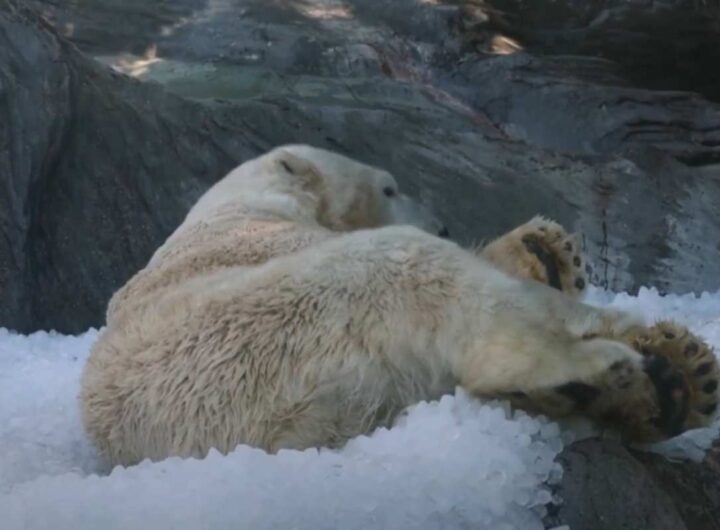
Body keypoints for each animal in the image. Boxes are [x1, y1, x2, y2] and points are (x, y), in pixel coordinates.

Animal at [80, 144, 719, 467]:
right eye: (389, 186)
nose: (441, 221)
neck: (238, 207)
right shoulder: (278, 247)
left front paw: (545, 248)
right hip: (304, 322)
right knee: (440, 284)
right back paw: (633, 373)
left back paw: (663, 387)